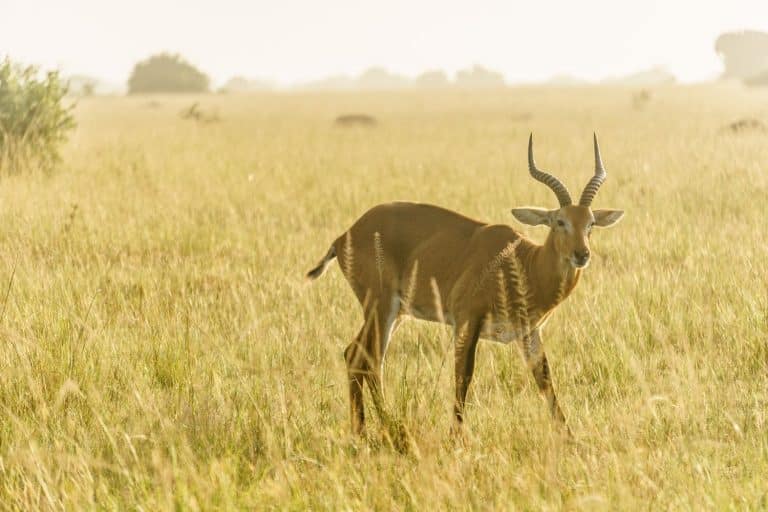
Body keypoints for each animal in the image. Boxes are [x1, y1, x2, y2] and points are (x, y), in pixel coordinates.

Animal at [306, 134, 624, 434]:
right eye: (559, 221)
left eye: (591, 223)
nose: (582, 254)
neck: (523, 263)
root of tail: (345, 235)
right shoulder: (467, 321)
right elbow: (464, 376)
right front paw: (456, 437)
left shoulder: (528, 332)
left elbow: (545, 381)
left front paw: (570, 438)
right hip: (381, 309)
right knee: (366, 358)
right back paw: (380, 426)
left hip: (395, 314)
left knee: (359, 356)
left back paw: (365, 429)